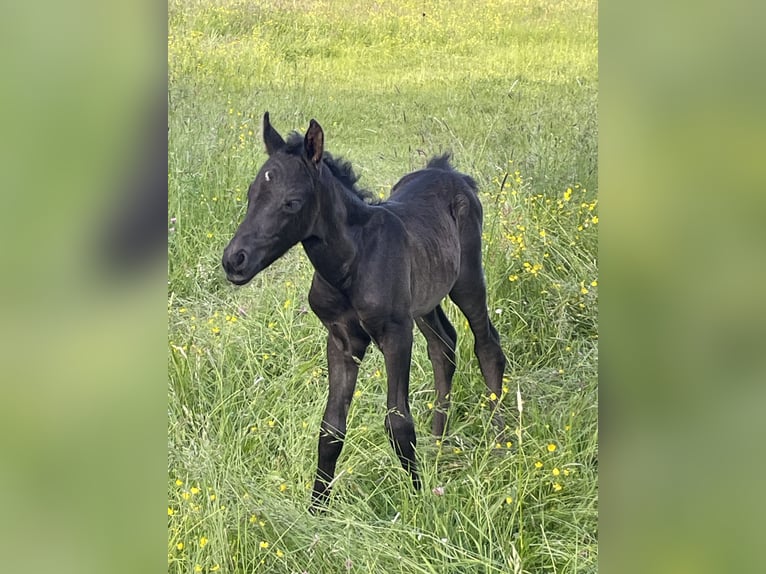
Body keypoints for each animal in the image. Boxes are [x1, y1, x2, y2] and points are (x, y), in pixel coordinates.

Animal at [222, 113, 507, 511]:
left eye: (292, 202)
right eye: (251, 194)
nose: (234, 260)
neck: (351, 263)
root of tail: (450, 172)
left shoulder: (395, 334)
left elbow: (398, 422)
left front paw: (417, 502)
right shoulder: (341, 340)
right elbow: (330, 428)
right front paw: (316, 509)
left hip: (466, 280)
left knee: (487, 345)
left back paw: (499, 446)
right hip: (424, 299)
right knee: (444, 346)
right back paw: (438, 445)